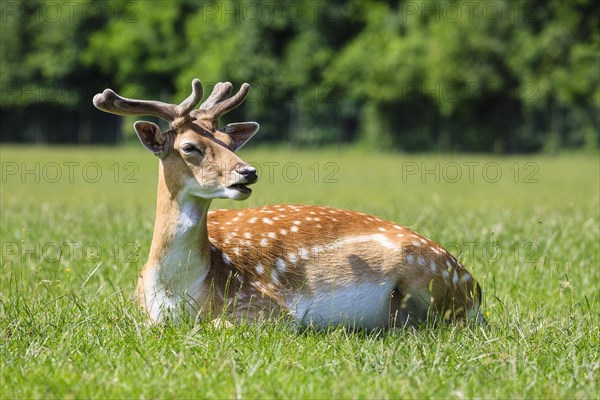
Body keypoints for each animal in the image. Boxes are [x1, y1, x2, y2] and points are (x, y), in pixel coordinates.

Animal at [92, 77, 482, 328]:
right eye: (189, 147)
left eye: (228, 142)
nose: (247, 172)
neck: (177, 290)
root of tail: (477, 289)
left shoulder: (268, 306)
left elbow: (217, 325)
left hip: (429, 279)